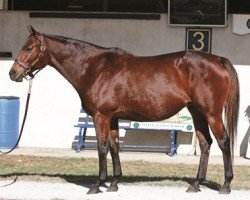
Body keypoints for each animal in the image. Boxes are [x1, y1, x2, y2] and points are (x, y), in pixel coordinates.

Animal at [8, 25, 239, 195]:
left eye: (29, 48)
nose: (13, 73)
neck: (95, 68)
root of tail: (218, 60)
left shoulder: (100, 116)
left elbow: (102, 147)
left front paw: (97, 184)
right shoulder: (112, 118)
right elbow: (114, 146)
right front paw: (114, 183)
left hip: (211, 113)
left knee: (223, 141)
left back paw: (226, 185)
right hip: (196, 112)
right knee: (205, 143)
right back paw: (196, 184)